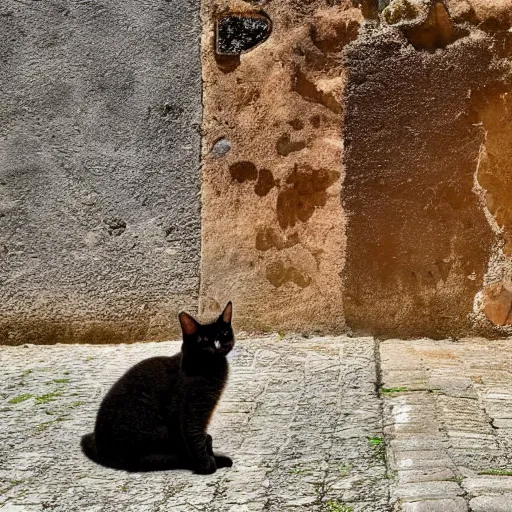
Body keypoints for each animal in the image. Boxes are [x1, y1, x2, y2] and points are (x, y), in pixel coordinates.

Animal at [81, 302, 235, 474]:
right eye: (204, 339)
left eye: (223, 333)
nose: (217, 344)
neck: (211, 368)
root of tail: (101, 451)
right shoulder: (189, 411)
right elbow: (194, 436)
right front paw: (206, 465)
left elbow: (201, 436)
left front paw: (213, 458)